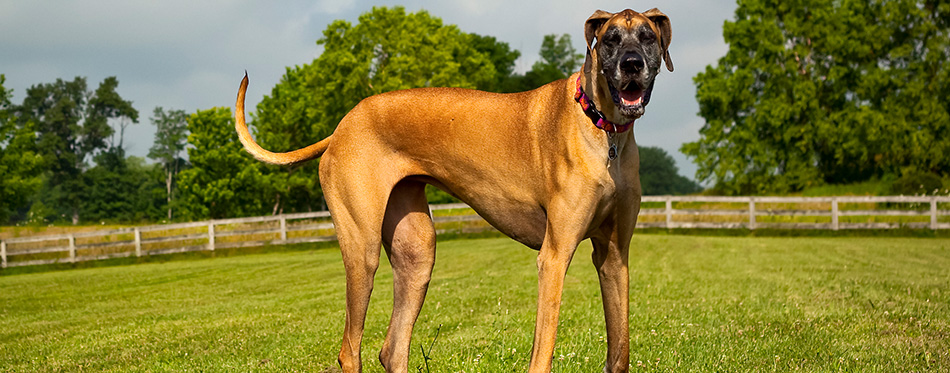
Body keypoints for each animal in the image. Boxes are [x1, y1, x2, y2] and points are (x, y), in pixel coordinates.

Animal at [234, 8, 672, 372]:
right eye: (610, 39)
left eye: (647, 37)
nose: (632, 64)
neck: (603, 128)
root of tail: (342, 126)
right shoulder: (554, 255)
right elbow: (543, 350)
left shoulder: (614, 257)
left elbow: (620, 349)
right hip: (362, 252)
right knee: (350, 350)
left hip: (416, 252)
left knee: (392, 349)